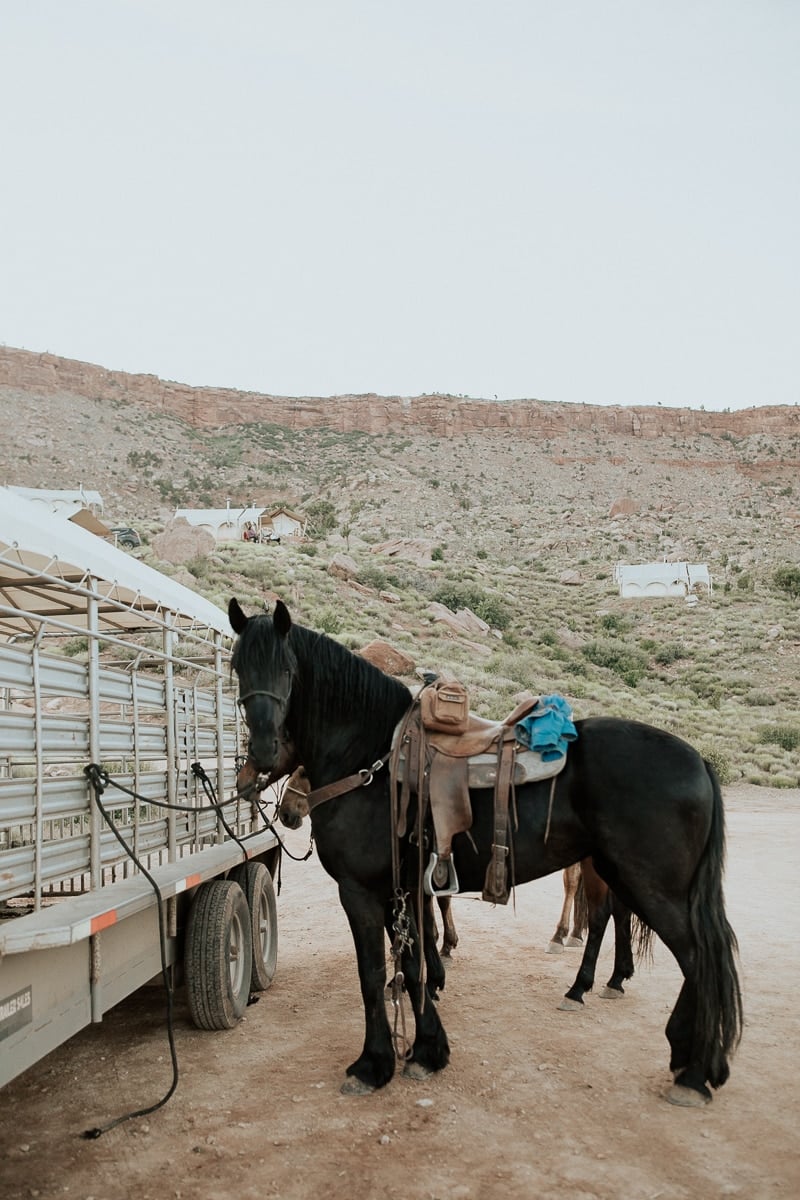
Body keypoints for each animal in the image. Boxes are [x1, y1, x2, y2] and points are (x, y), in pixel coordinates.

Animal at [227, 600, 743, 1104]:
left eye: (288, 670)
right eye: (237, 668)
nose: (262, 756)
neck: (371, 761)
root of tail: (700, 760)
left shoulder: (361, 892)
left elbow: (374, 973)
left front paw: (374, 1065)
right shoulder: (404, 889)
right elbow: (411, 963)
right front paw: (427, 1050)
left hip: (651, 886)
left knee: (697, 957)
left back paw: (693, 1070)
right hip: (622, 875)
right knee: (654, 938)